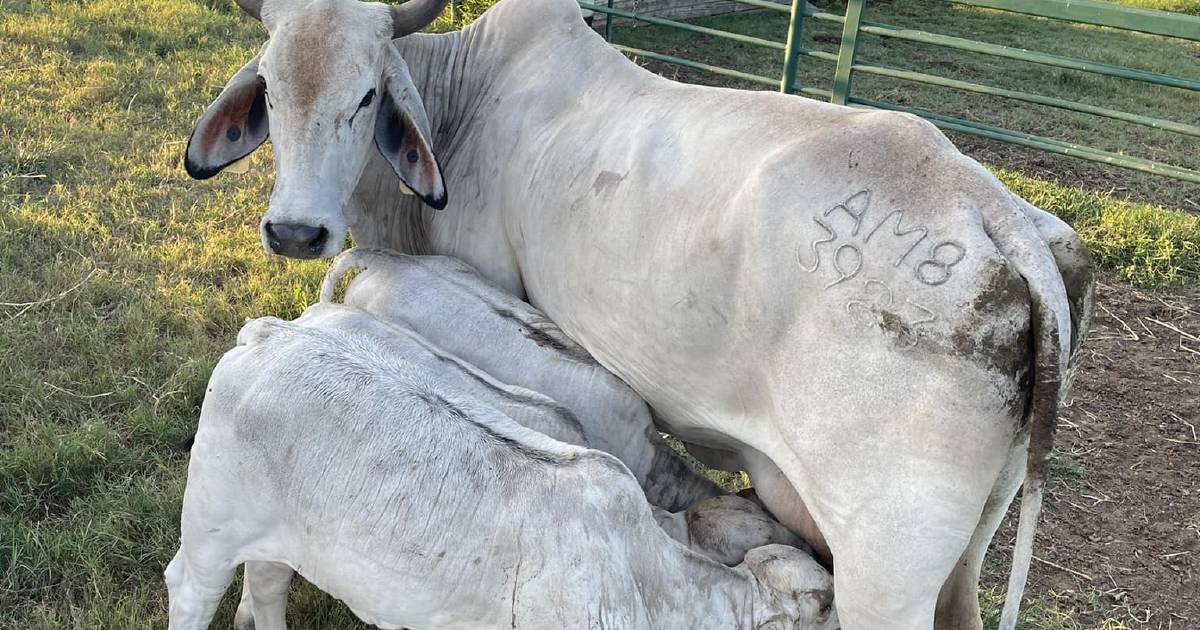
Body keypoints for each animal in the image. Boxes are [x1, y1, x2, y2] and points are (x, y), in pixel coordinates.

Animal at [182, 1, 1094, 624]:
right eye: (268, 88)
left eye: (369, 95)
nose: (296, 230)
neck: (467, 99)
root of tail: (998, 218)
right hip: (970, 540)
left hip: (887, 559)